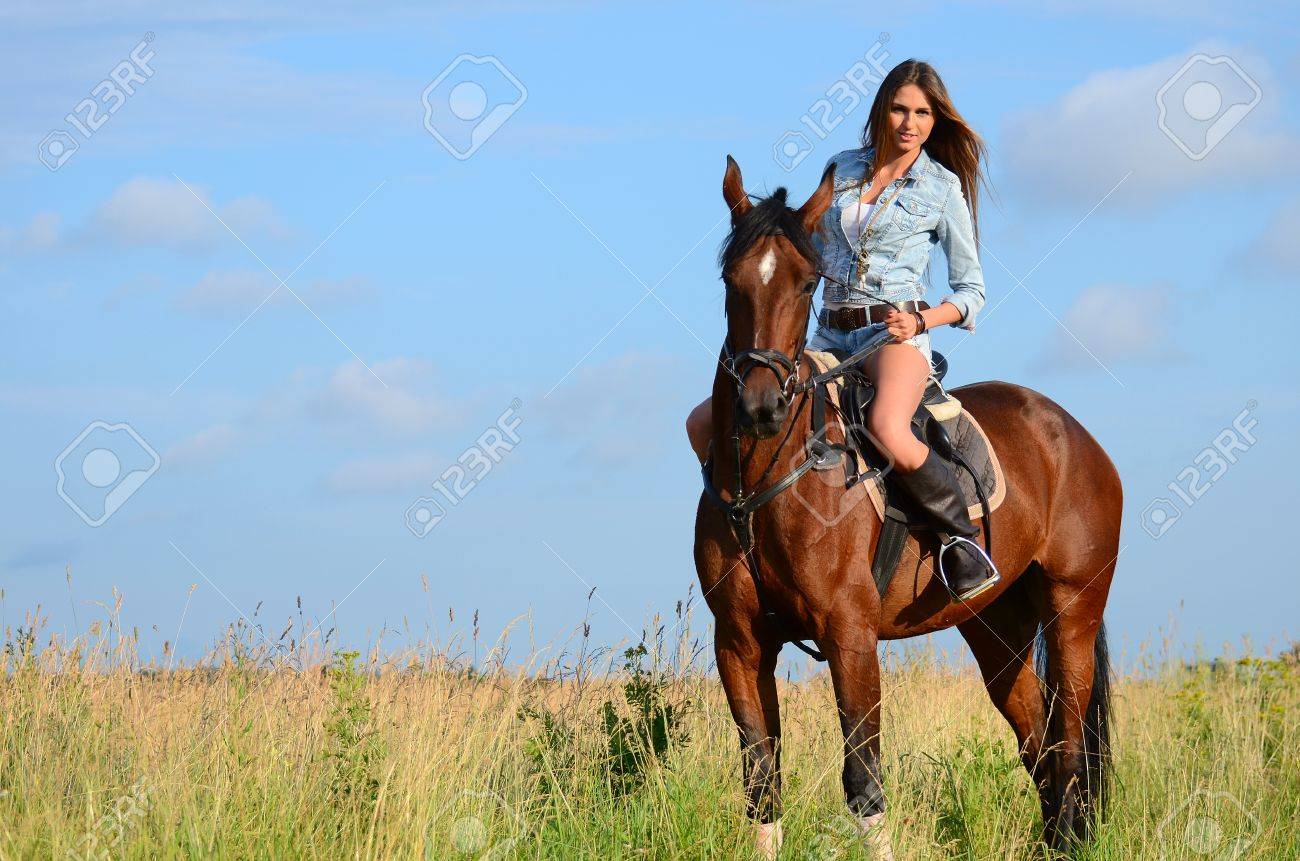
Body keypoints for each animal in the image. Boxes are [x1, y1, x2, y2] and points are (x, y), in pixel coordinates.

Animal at [692, 156, 1122, 857]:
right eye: (731, 278)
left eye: (807, 282)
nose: (762, 406)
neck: (765, 482)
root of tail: (1073, 434)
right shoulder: (740, 641)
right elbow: (762, 782)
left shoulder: (850, 636)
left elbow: (863, 783)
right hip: (996, 629)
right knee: (1039, 746)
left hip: (1071, 616)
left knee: (1066, 747)